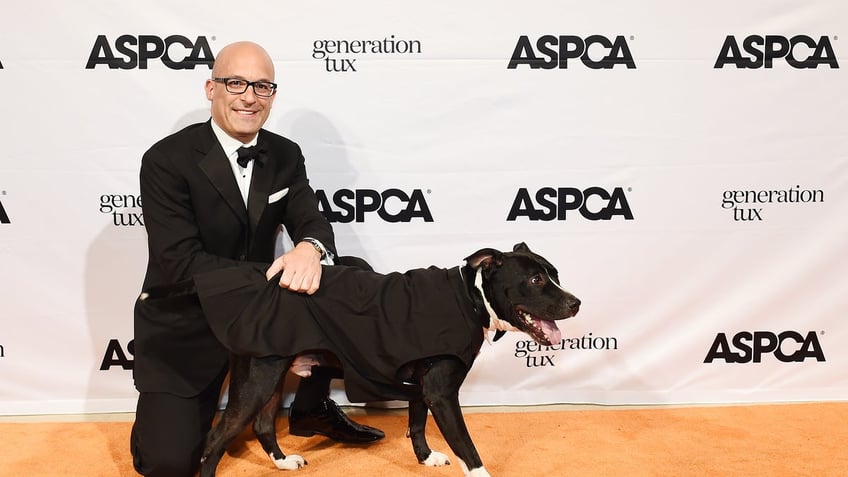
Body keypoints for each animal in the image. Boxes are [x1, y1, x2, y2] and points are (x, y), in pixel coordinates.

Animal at [147, 244, 584, 476]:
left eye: (555, 273)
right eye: (536, 280)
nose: (576, 303)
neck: (470, 297)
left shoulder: (422, 386)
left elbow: (416, 424)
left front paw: (425, 458)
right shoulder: (442, 393)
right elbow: (468, 448)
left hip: (269, 374)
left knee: (263, 424)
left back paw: (284, 462)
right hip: (258, 379)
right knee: (216, 438)